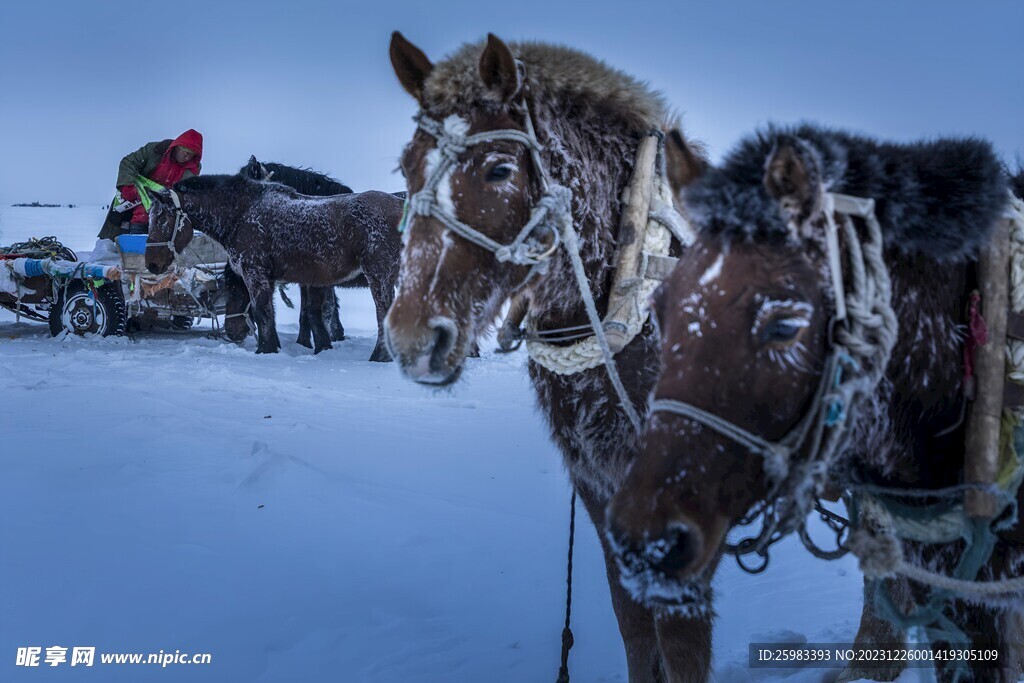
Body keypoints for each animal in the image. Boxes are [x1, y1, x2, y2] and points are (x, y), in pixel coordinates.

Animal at [148, 174, 403, 360]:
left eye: (161, 218)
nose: (151, 264)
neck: (242, 214)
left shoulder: (255, 274)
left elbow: (262, 311)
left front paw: (265, 350)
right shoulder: (295, 280)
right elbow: (276, 314)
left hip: (379, 276)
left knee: (383, 313)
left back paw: (380, 356)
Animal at [380, 30, 708, 683]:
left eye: (500, 168)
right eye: (406, 166)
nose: (412, 340)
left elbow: (683, 648)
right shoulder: (601, 489)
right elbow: (636, 628)